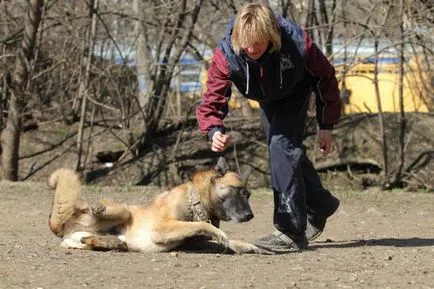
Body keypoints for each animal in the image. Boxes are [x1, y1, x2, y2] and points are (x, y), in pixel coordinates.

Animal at [48, 156, 272, 253]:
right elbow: (201, 225)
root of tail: (62, 227)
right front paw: (218, 232)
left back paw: (109, 242)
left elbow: (229, 242)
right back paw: (98, 209)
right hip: (123, 211)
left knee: (94, 240)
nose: (250, 216)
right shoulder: (162, 228)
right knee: (100, 214)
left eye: (248, 195)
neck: (196, 201)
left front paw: (250, 246)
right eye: (237, 191)